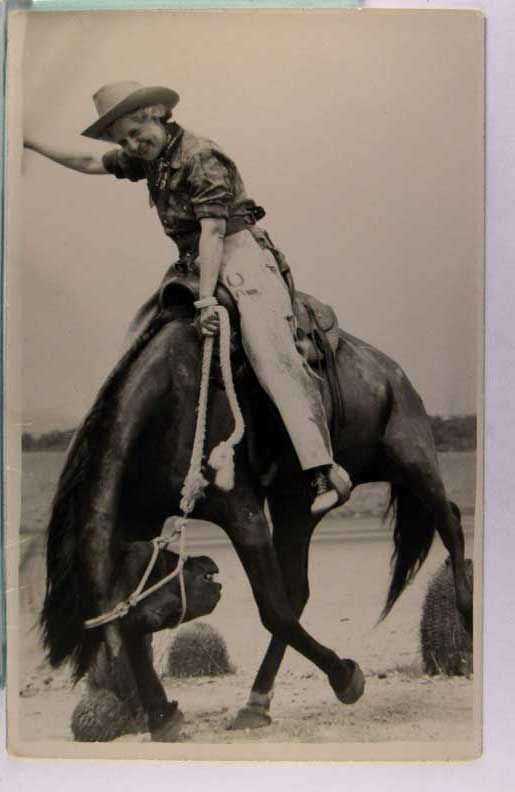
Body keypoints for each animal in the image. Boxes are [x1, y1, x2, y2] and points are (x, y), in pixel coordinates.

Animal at [41, 283, 473, 740]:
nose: (209, 569)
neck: (171, 405)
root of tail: (392, 373)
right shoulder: (143, 525)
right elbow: (132, 626)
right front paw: (163, 715)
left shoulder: (241, 511)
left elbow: (271, 608)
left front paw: (346, 677)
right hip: (297, 501)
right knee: (300, 587)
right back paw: (256, 702)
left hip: (413, 459)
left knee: (450, 520)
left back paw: (466, 614)